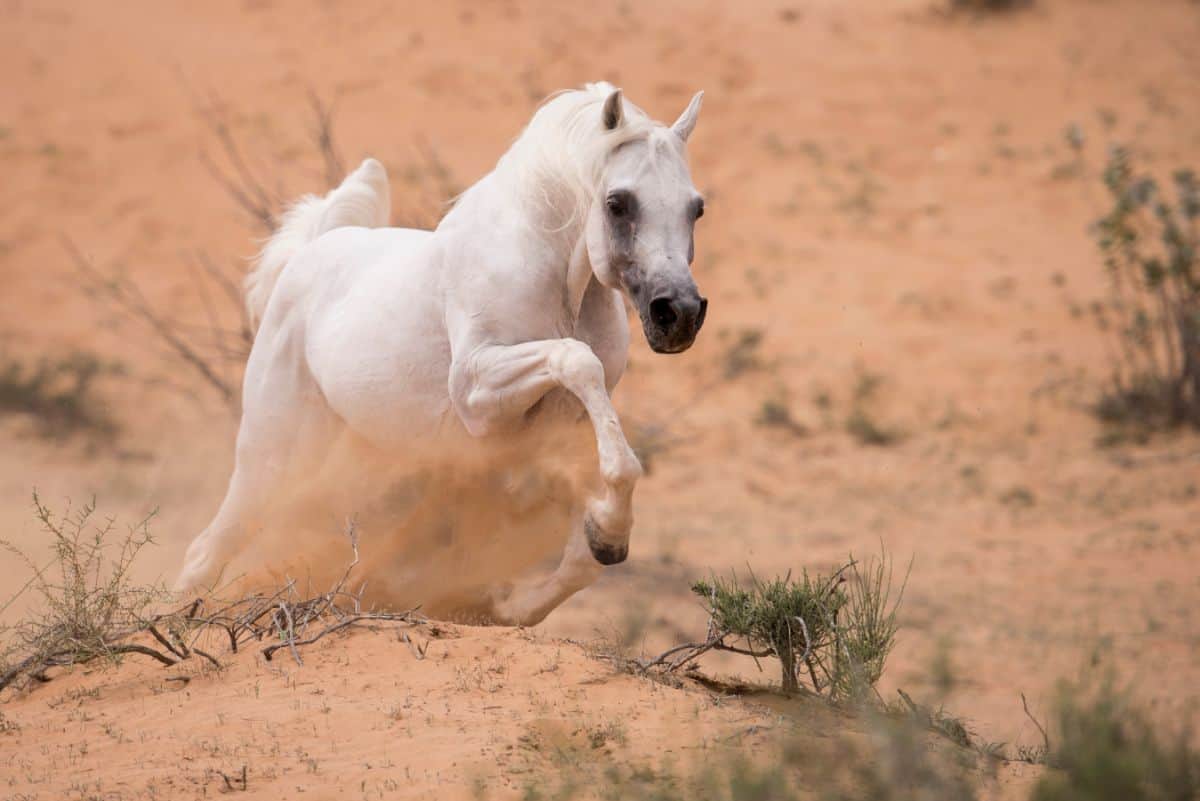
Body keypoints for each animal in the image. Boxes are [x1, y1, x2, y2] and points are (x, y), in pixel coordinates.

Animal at [174, 82, 705, 623]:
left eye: (696, 208)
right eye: (618, 203)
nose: (679, 314)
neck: (555, 278)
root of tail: (310, 253)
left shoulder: (549, 437)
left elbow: (584, 556)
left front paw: (598, 539)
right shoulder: (477, 394)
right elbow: (577, 360)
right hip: (274, 458)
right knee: (205, 551)